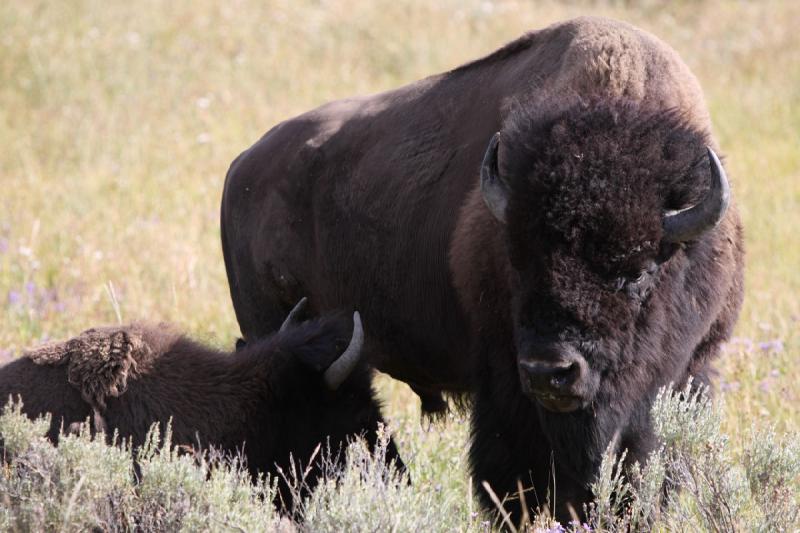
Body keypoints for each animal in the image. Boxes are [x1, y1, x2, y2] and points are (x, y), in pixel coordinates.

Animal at [219, 17, 744, 520]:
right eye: (518, 262)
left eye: (636, 271)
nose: (550, 372)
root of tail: (241, 167)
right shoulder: (503, 383)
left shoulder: (690, 371)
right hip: (272, 331)